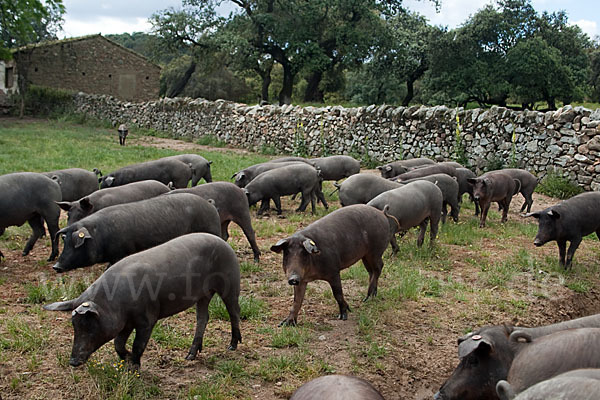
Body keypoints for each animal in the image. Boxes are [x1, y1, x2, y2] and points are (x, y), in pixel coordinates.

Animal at [43, 234, 243, 368]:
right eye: (74, 326)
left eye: (90, 326)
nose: (73, 361)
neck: (115, 303)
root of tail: (224, 242)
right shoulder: (125, 323)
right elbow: (118, 344)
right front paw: (126, 359)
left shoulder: (147, 319)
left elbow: (138, 345)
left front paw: (134, 366)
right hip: (203, 294)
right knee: (203, 317)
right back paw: (190, 356)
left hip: (230, 282)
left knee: (234, 311)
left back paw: (232, 346)